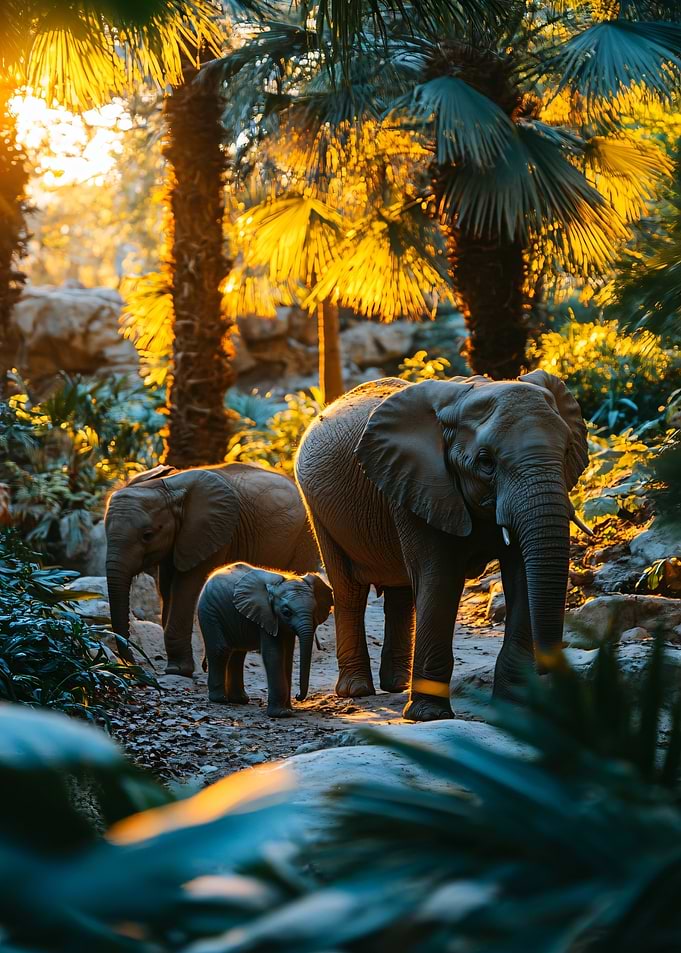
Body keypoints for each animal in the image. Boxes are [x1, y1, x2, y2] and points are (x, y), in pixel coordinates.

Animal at [105, 462, 320, 676]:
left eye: (147, 535)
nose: (134, 667)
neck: (167, 487)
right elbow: (167, 590)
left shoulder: (212, 534)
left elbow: (185, 589)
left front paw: (178, 670)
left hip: (305, 536)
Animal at [197, 562, 333, 717]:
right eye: (286, 613)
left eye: (315, 610)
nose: (298, 696)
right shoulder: (265, 615)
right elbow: (274, 655)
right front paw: (282, 714)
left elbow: (287, 659)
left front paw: (289, 709)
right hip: (208, 610)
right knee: (220, 649)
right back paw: (220, 699)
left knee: (238, 653)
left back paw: (240, 700)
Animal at [295, 371, 590, 722]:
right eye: (486, 462)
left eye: (567, 450)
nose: (547, 670)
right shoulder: (422, 481)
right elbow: (439, 578)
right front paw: (428, 716)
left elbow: (521, 577)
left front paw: (513, 711)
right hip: (318, 508)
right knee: (349, 589)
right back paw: (357, 690)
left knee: (400, 591)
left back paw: (396, 684)